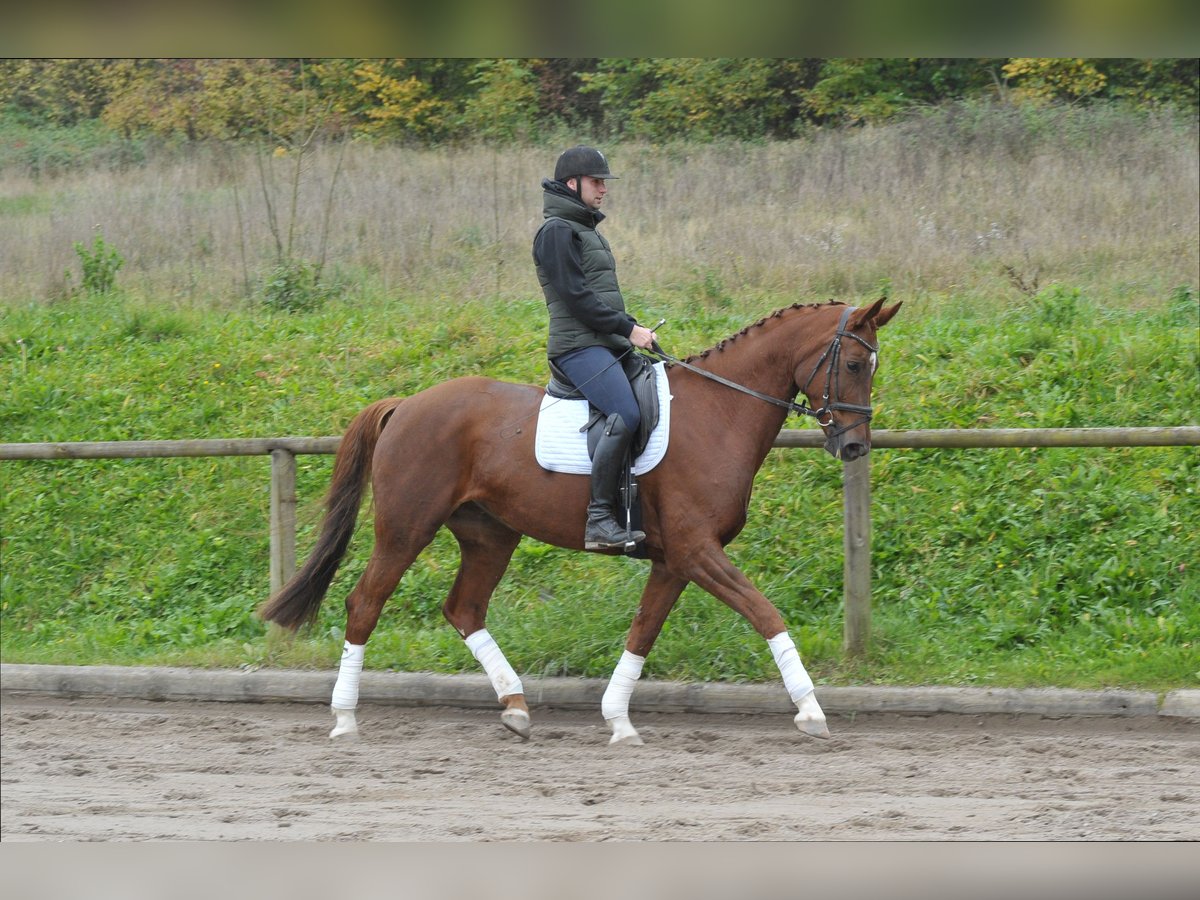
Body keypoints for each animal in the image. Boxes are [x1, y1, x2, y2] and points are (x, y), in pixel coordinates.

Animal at [260, 300, 902, 744]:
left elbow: (642, 631)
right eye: (852, 362)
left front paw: (618, 720)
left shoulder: (676, 560)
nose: (854, 448)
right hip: (406, 528)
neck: (720, 412)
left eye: (873, 366)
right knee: (365, 603)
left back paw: (516, 709)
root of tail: (407, 404)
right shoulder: (697, 551)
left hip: (490, 534)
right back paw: (345, 719)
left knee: (464, 609)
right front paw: (811, 710)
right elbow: (766, 612)